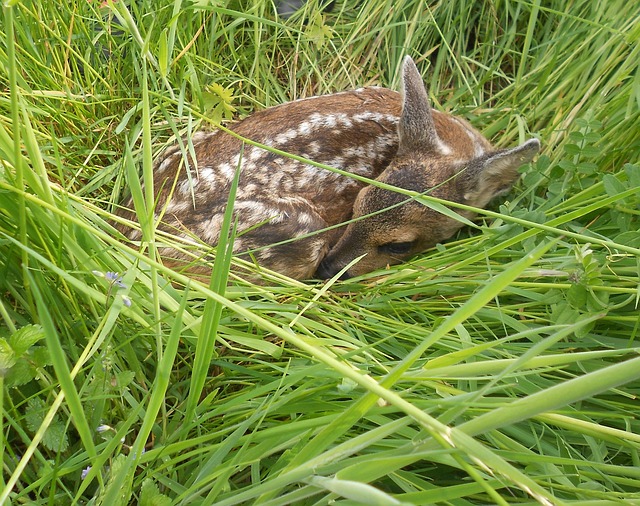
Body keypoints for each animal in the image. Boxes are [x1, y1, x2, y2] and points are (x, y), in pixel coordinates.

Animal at [116, 57, 540, 282]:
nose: (330, 270)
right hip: (295, 228)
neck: (457, 141)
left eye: (400, 244)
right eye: (356, 205)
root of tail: (131, 236)